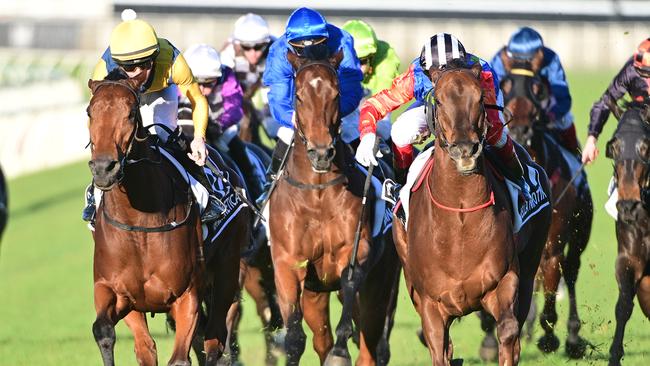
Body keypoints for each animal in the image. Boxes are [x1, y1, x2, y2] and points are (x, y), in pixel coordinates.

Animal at [86, 73, 248, 364]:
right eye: (89, 112)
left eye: (130, 113)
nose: (104, 168)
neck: (138, 223)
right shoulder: (116, 292)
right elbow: (110, 333)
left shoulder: (187, 295)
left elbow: (181, 357)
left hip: (227, 268)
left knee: (216, 338)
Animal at [268, 50, 400, 364]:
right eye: (299, 96)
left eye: (336, 93)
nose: (321, 153)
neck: (316, 197)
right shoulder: (288, 263)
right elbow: (295, 337)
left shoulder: (354, 251)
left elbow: (350, 284)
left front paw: (340, 351)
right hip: (315, 293)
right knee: (322, 338)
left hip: (382, 280)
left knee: (371, 343)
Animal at [392, 64, 548, 364]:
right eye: (440, 100)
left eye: (479, 98)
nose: (465, 150)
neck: (461, 216)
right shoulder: (430, 304)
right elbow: (438, 346)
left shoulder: (505, 280)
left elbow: (508, 331)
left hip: (532, 261)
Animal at [478, 64, 596, 358]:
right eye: (508, 101)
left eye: (535, 105)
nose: (521, 132)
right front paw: (490, 338)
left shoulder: (553, 243)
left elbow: (552, 282)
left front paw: (549, 337)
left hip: (580, 232)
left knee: (571, 271)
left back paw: (572, 338)